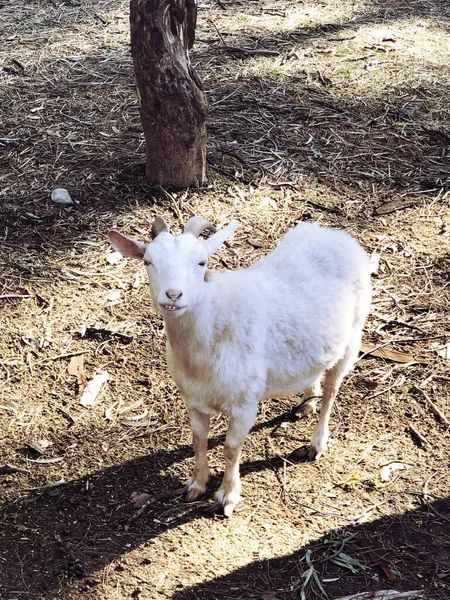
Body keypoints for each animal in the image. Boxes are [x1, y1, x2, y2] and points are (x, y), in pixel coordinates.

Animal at [107, 216, 370, 516]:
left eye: (202, 262)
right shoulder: (193, 399)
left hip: (353, 336)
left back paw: (317, 443)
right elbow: (198, 439)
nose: (173, 295)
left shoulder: (244, 403)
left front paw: (227, 496)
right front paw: (196, 485)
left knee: (332, 390)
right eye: (148, 261)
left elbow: (232, 448)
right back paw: (306, 403)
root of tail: (335, 234)